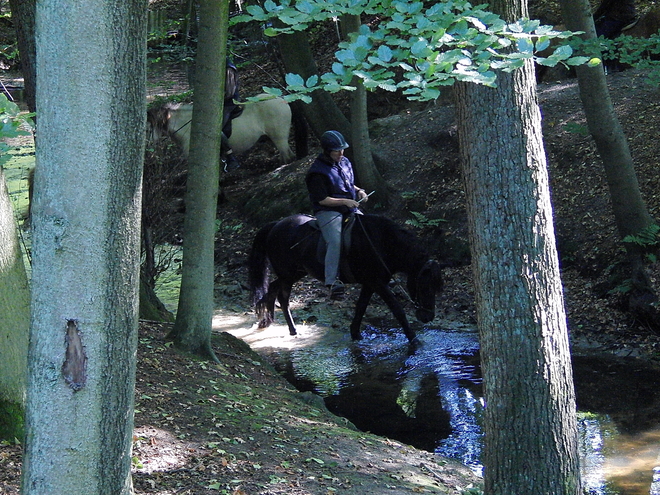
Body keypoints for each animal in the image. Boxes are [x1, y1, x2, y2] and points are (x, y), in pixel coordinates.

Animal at [151, 97, 296, 165]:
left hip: (279, 138)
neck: (189, 126)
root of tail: (282, 99)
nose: (152, 140)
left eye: (156, 124)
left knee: (288, 156)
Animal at [248, 215, 444, 342]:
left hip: (296, 272)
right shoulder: (378, 283)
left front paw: (355, 334)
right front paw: (413, 339)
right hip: (287, 274)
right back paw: (292, 329)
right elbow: (397, 309)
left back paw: (267, 321)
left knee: (273, 288)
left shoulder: (370, 283)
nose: (428, 317)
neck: (382, 242)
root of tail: (275, 224)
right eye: (425, 287)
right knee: (283, 296)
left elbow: (361, 307)